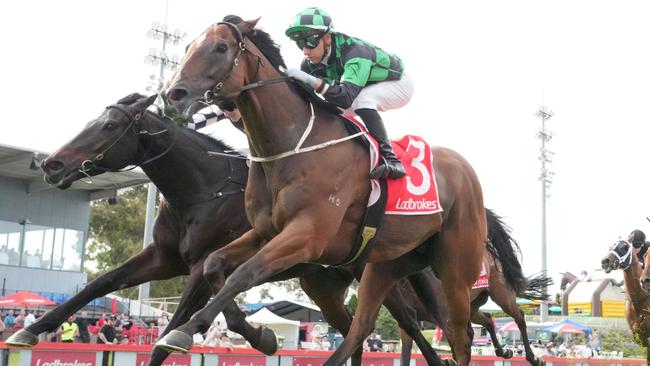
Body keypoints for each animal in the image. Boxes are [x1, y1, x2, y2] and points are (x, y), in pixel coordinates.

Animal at [161, 17, 486, 366]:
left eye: (220, 47)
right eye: (187, 47)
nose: (172, 95)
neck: (292, 148)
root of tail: (466, 171)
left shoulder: (307, 235)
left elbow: (243, 274)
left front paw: (184, 331)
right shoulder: (264, 232)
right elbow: (213, 265)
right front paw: (261, 337)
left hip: (455, 271)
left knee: (459, 333)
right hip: (385, 263)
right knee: (365, 326)